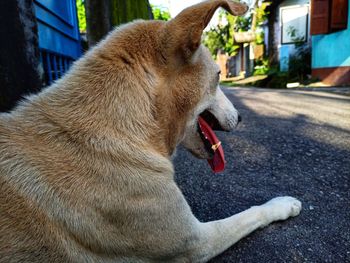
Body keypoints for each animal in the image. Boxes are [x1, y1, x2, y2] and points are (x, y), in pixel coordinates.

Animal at [0, 1, 300, 262]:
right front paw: (283, 204)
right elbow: (253, 213)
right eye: (217, 76)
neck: (118, 128)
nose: (240, 117)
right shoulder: (197, 241)